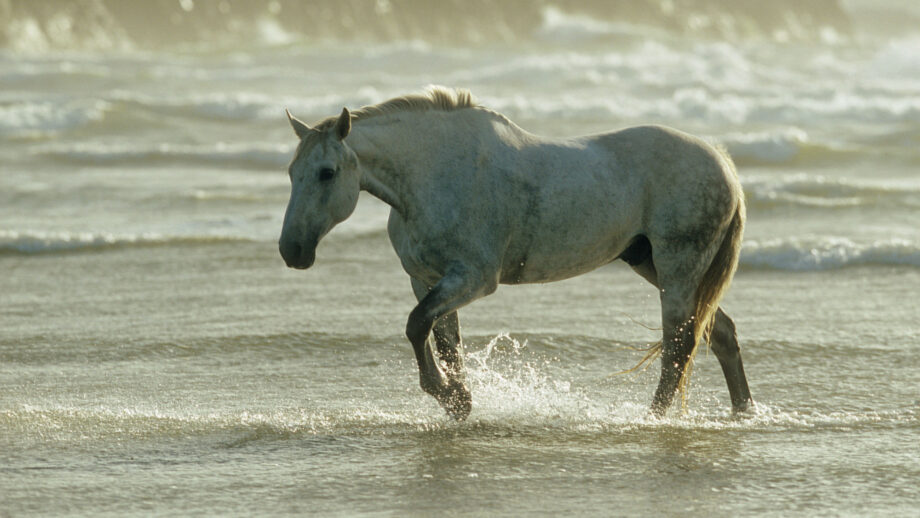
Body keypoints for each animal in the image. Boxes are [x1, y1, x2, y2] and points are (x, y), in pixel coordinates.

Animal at [279, 86, 753, 420]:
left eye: (327, 173)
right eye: (291, 172)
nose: (292, 250)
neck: (434, 174)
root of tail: (723, 164)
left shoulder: (473, 279)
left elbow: (416, 327)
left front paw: (448, 394)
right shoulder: (428, 281)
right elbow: (442, 341)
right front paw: (458, 400)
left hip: (677, 270)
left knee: (679, 345)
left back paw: (651, 417)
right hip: (651, 264)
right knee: (720, 333)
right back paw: (743, 412)